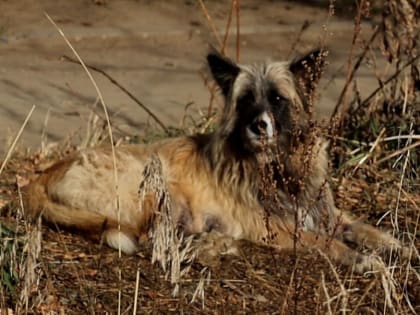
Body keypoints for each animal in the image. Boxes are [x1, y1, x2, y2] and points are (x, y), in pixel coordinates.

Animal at [23, 49, 406, 274]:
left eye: (277, 99)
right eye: (246, 99)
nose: (258, 126)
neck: (276, 167)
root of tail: (43, 175)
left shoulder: (324, 214)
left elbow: (364, 229)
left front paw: (397, 247)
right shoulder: (276, 228)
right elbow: (328, 243)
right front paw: (362, 259)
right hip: (151, 188)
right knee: (150, 237)